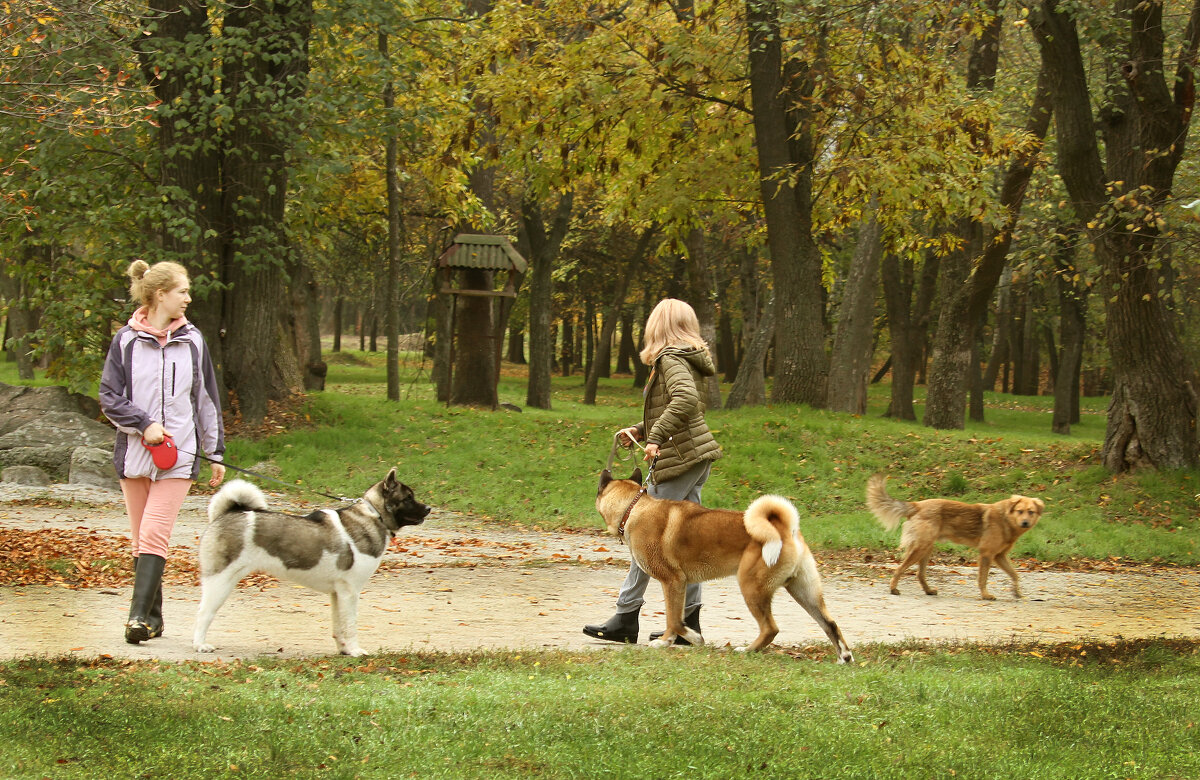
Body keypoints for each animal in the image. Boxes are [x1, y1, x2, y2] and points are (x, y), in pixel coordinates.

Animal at [595, 465, 849, 657]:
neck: (634, 508)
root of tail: (785, 529)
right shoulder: (679, 585)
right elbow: (675, 619)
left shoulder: (673, 581)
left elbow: (674, 620)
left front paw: (685, 639)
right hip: (804, 591)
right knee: (830, 623)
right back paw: (844, 657)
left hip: (752, 588)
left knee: (770, 629)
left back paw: (747, 650)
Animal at [868, 470, 1046, 597]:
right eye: (1020, 511)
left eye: (1031, 512)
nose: (1025, 523)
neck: (1006, 518)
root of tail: (917, 505)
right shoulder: (987, 554)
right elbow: (983, 579)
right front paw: (986, 595)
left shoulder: (999, 556)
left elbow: (1015, 575)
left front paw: (1016, 592)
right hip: (920, 548)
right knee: (899, 569)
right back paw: (893, 589)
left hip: (926, 549)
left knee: (919, 574)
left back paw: (929, 591)